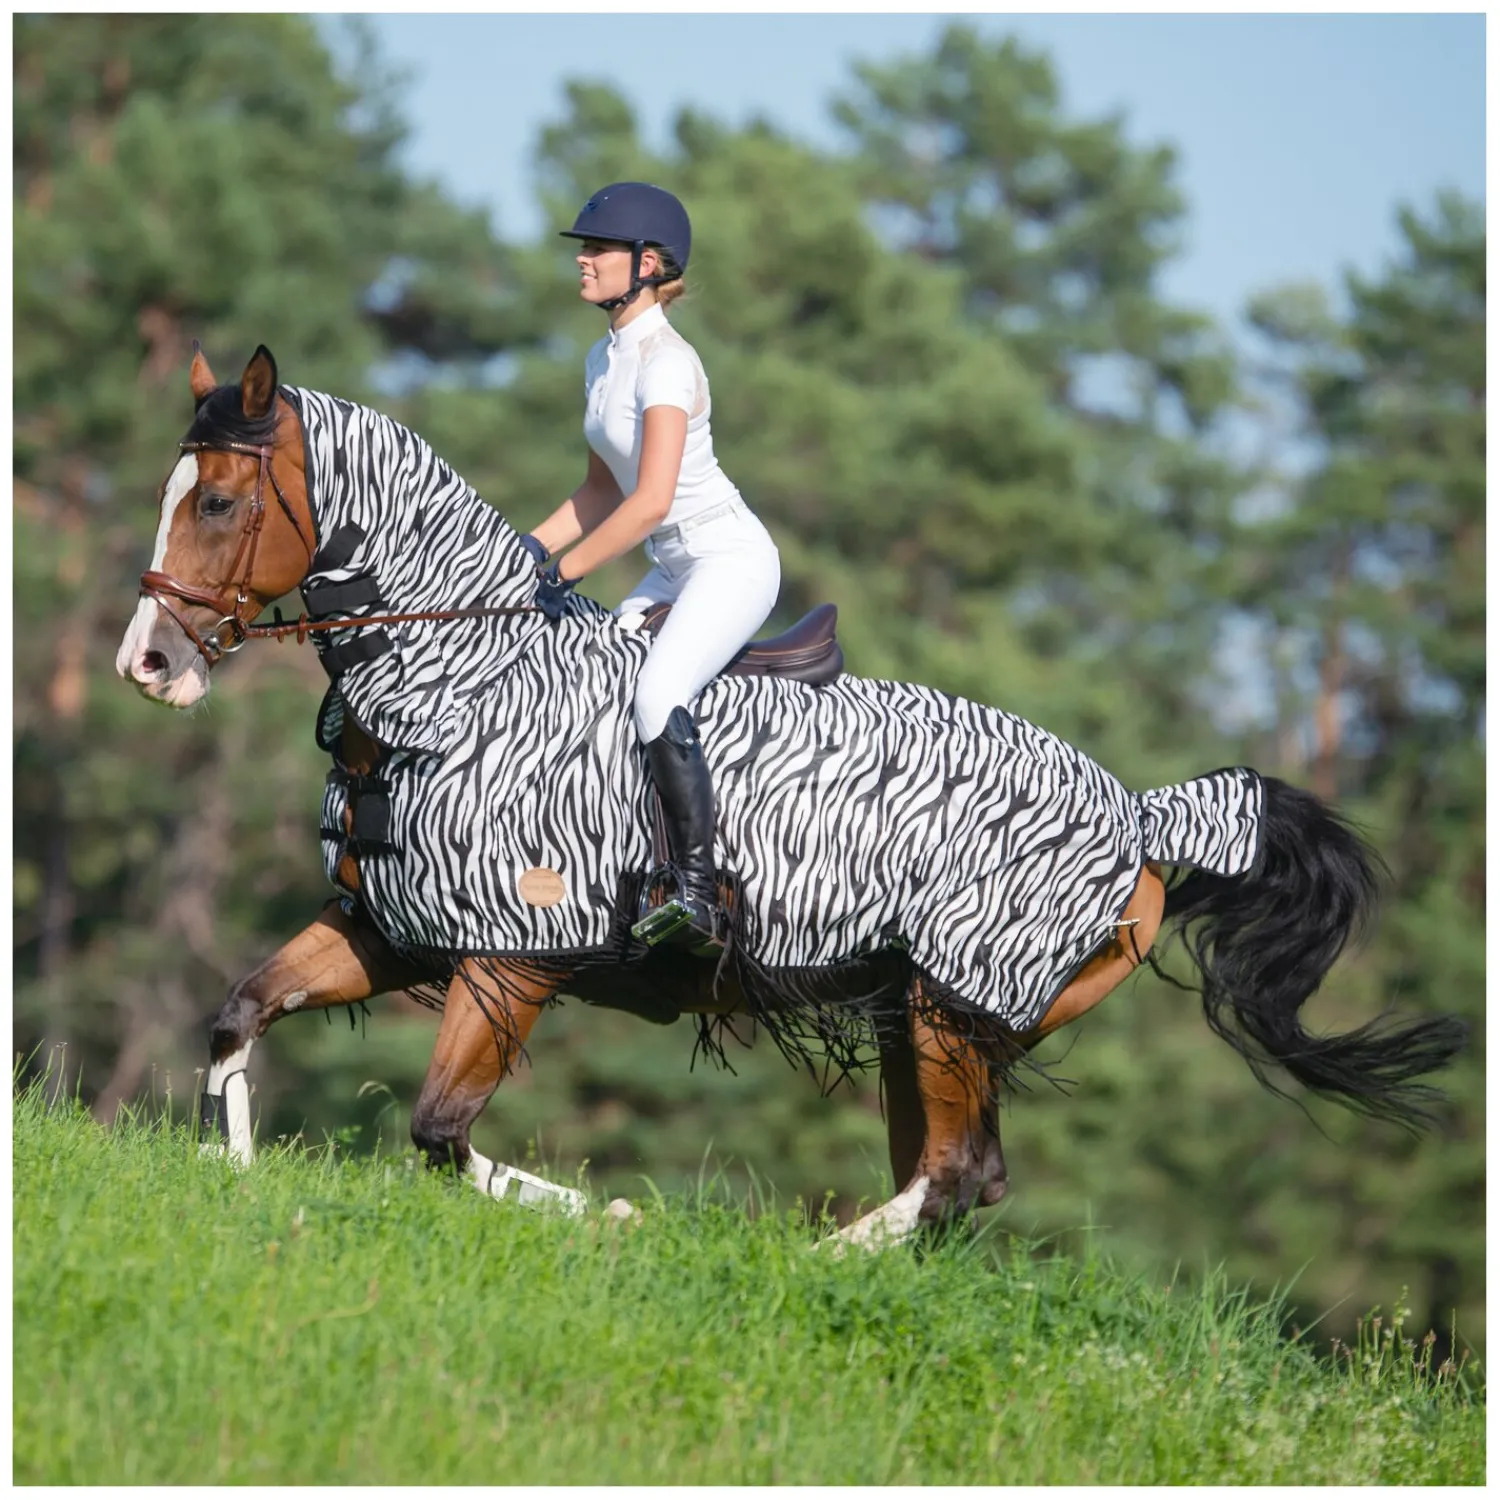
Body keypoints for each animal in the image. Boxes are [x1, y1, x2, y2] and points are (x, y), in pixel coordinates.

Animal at [115, 344, 1465, 1248]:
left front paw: (617, 1215)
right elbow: (238, 1015)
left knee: (955, 1176)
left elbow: (442, 1132)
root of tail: (1144, 812)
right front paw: (235, 1181)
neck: (459, 690)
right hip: (915, 1019)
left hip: (953, 1006)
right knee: (955, 1174)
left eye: (220, 501)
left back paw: (815, 1265)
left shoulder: (514, 959)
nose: (148, 664)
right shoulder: (390, 931)